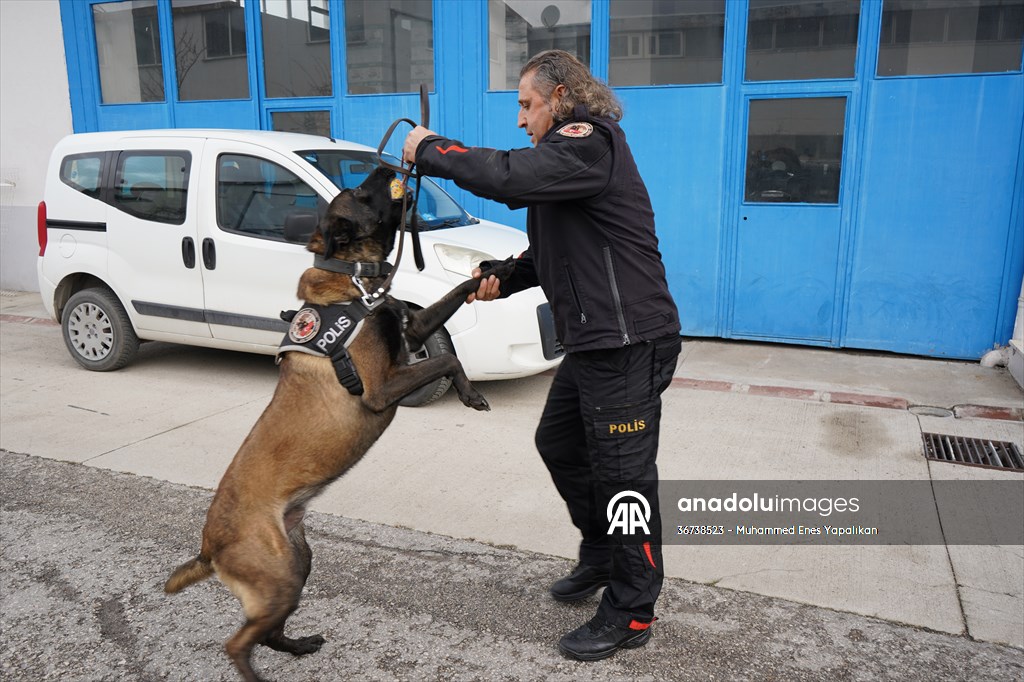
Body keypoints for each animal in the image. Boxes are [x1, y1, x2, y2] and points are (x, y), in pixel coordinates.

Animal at [165, 165, 512, 679]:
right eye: (362, 194)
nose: (388, 165)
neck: (355, 281)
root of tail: (210, 545)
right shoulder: (380, 388)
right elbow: (446, 362)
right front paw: (471, 394)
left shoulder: (413, 331)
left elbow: (457, 296)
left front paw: (496, 271)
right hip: (277, 577)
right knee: (238, 643)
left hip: (297, 564)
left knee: (266, 632)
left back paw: (299, 645)